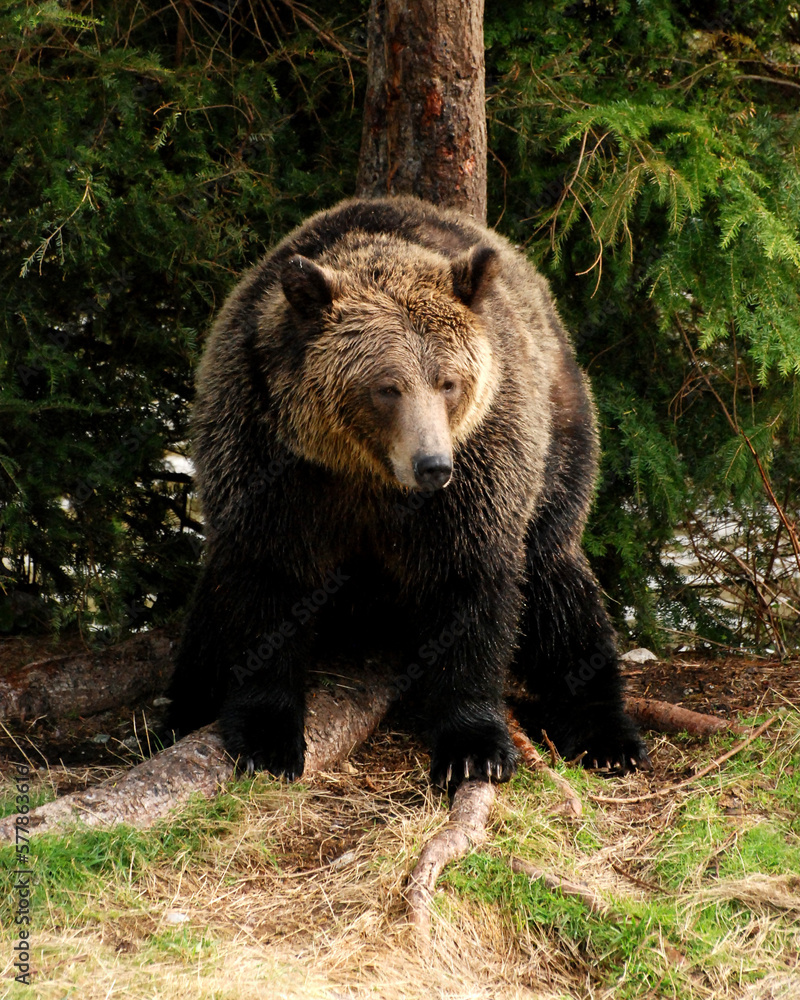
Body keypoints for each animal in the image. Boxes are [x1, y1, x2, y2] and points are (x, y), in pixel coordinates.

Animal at [169, 195, 648, 784]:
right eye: (386, 388)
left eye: (449, 381)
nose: (432, 465)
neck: (368, 474)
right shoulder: (272, 461)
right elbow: (268, 582)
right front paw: (267, 738)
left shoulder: (479, 470)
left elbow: (468, 583)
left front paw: (473, 747)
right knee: (205, 623)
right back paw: (182, 710)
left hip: (560, 443)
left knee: (560, 594)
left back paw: (608, 735)